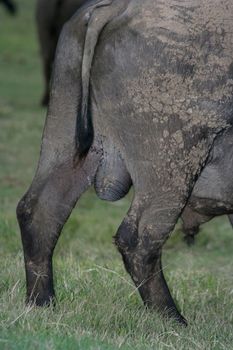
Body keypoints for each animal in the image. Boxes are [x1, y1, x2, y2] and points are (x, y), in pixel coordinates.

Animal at [17, 0, 233, 326]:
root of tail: (118, 7)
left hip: (65, 142)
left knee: (39, 211)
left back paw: (42, 303)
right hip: (173, 162)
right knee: (138, 240)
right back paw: (173, 320)